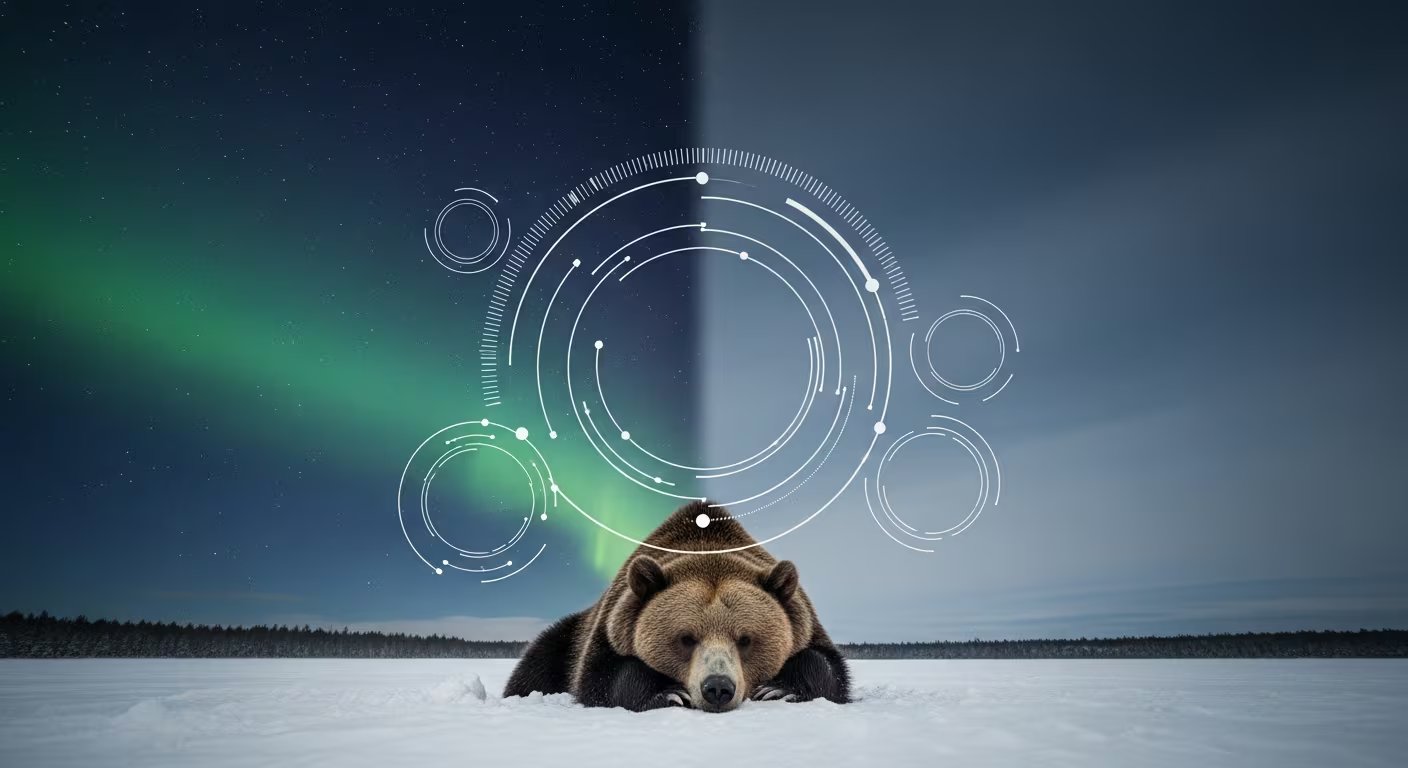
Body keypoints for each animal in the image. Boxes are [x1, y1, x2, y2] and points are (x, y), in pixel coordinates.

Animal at [503, 500, 850, 712]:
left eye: (746, 639)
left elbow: (826, 665)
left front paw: (779, 689)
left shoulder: (803, 622)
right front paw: (668, 692)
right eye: (686, 638)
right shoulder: (610, 628)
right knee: (536, 664)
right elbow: (602, 679)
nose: (718, 688)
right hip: (565, 639)